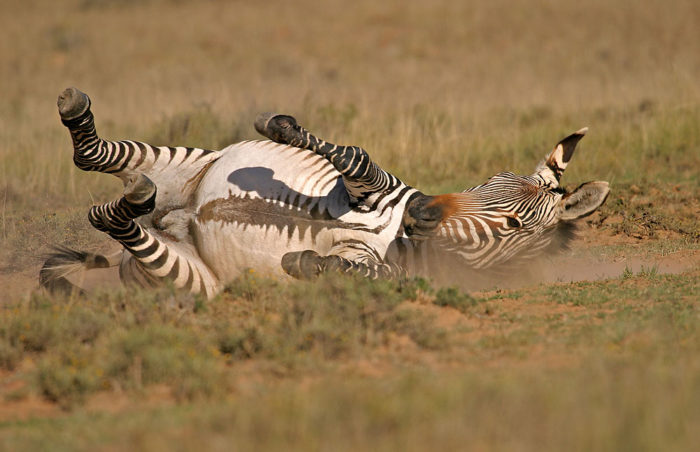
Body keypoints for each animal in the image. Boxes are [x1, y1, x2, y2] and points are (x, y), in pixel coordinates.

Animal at [42, 87, 608, 300]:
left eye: (513, 225)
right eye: (487, 181)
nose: (422, 209)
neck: (397, 236)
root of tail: (173, 218)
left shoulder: (385, 266)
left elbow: (361, 272)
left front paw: (309, 264)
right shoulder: (374, 188)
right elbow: (355, 155)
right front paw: (280, 126)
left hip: (187, 277)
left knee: (111, 217)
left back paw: (132, 202)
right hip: (188, 165)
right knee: (91, 157)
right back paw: (77, 115)